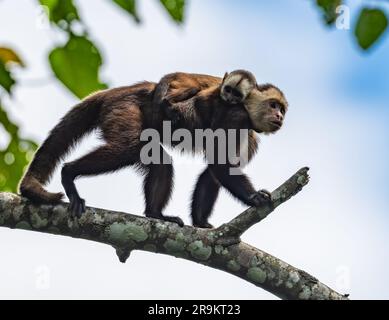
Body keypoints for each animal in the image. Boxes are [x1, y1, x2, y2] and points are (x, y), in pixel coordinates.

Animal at [19, 71, 286, 229]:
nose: (279, 116)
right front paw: (253, 197)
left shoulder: (249, 136)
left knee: (158, 159)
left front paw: (200, 221)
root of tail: (123, 90)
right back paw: (69, 174)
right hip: (123, 107)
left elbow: (213, 172)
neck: (247, 109)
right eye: (273, 105)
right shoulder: (236, 116)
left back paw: (155, 213)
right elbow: (219, 165)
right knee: (127, 147)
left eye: (282, 109)